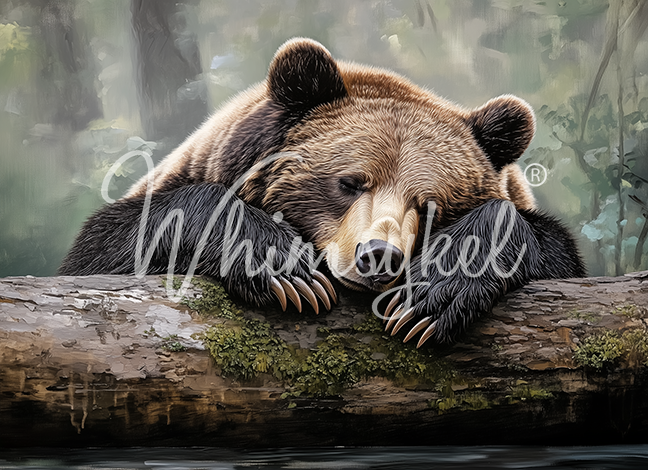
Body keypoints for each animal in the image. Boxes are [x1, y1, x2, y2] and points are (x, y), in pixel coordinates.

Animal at [59, 38, 585, 344]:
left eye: (431, 206)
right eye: (350, 183)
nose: (379, 255)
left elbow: (546, 246)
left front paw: (428, 297)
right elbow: (104, 249)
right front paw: (287, 269)